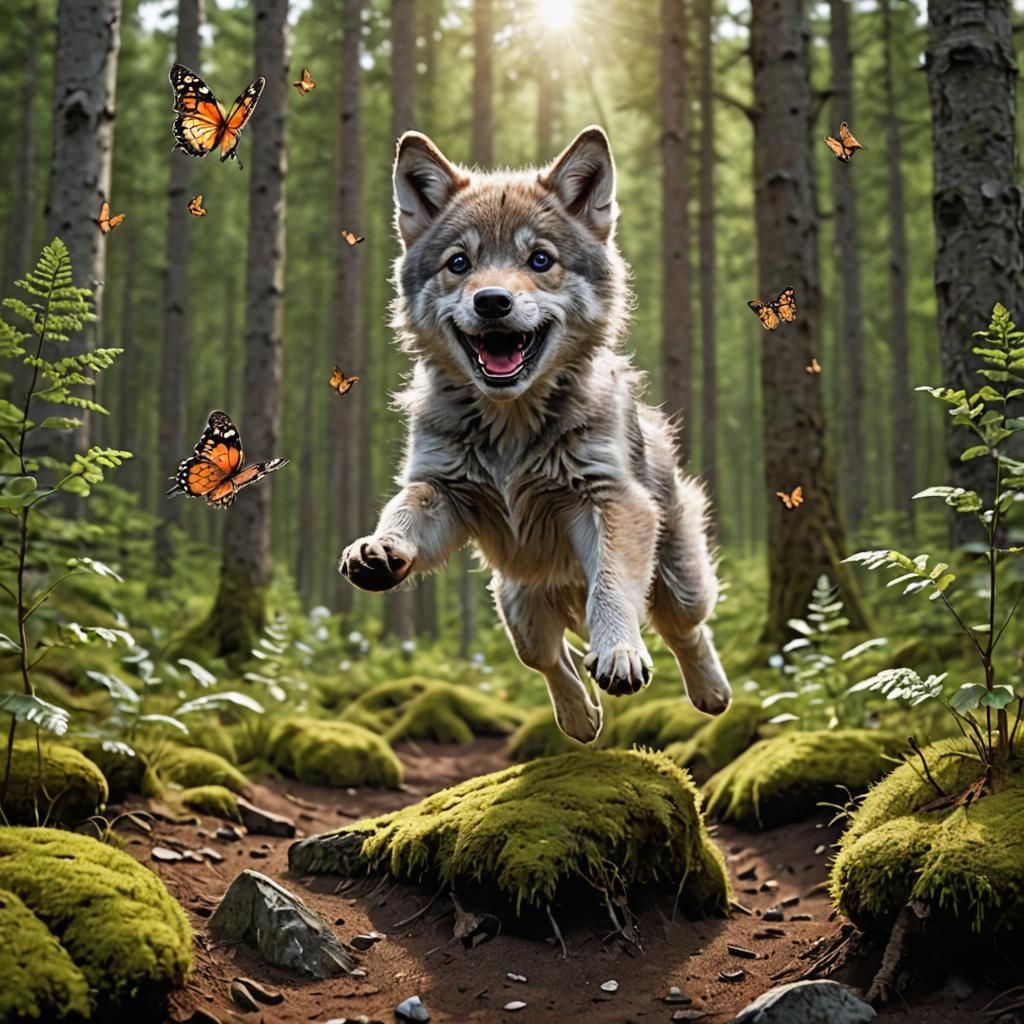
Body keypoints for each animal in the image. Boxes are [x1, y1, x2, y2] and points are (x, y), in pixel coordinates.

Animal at [338, 126, 732, 743]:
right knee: (548, 658)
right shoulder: (443, 491)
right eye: (459, 263)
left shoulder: (609, 502)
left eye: (540, 259)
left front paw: (619, 652)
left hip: (679, 580)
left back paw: (711, 694)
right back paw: (580, 719)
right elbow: (401, 511)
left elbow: (611, 588)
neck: (512, 426)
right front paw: (379, 548)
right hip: (516, 603)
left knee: (685, 628)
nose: (492, 301)